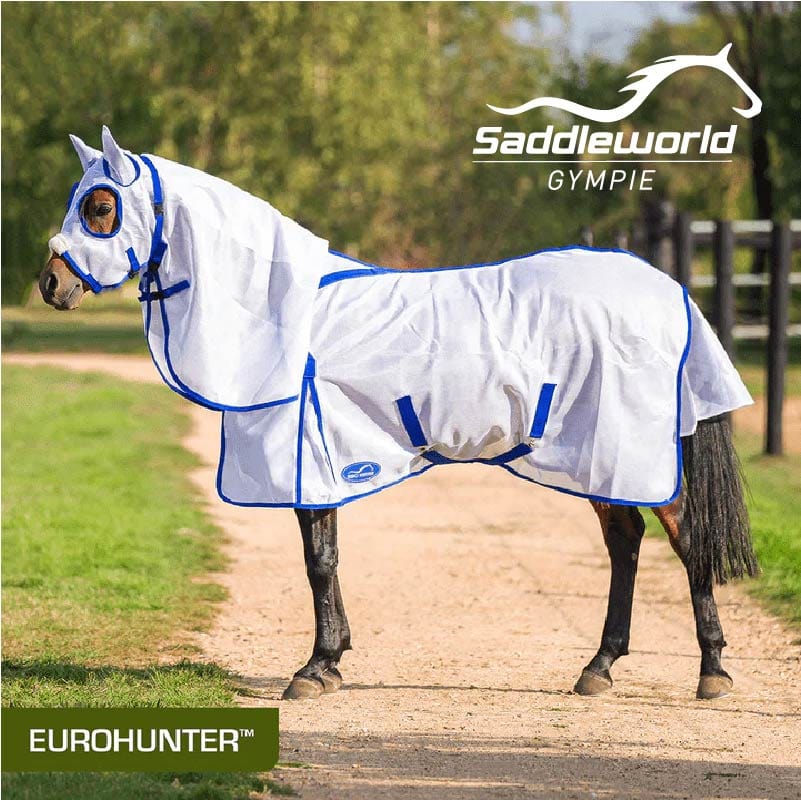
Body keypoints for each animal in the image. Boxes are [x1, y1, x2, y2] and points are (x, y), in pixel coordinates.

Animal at [39, 127, 758, 701]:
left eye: (100, 207)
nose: (51, 284)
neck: (285, 314)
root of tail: (668, 290)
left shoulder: (309, 458)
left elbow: (318, 562)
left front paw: (315, 669)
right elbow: (324, 558)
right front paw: (330, 661)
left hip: (628, 449)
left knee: (685, 539)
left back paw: (712, 672)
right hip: (595, 455)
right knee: (625, 542)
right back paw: (599, 667)